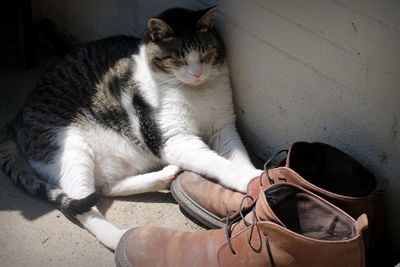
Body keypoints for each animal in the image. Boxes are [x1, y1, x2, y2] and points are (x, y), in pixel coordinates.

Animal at [0, 6, 262, 251]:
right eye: (179, 59)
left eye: (206, 54)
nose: (197, 73)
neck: (196, 91)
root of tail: (18, 115)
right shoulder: (175, 139)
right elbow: (219, 164)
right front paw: (251, 180)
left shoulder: (224, 128)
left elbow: (239, 157)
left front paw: (257, 179)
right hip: (70, 147)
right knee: (81, 202)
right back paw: (118, 238)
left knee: (105, 188)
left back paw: (165, 176)